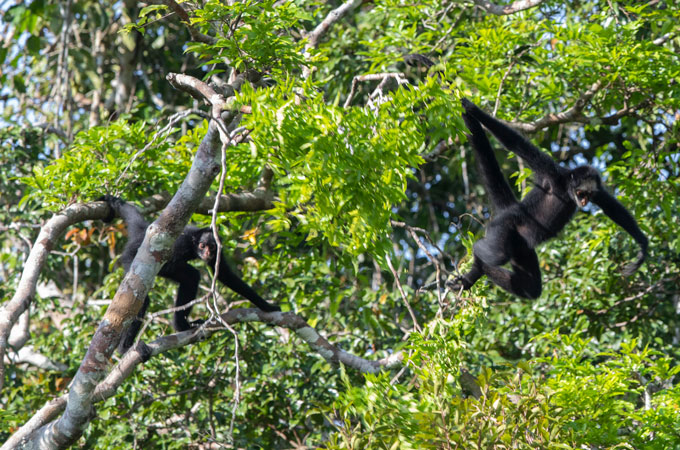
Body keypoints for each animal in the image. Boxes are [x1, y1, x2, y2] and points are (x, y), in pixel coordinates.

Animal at [100, 195, 280, 353]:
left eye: (211, 247)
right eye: (202, 245)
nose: (207, 253)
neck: (193, 244)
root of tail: (143, 233)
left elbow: (225, 275)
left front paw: (267, 306)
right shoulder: (181, 243)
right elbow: (170, 262)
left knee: (191, 278)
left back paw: (182, 326)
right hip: (130, 259)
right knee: (143, 297)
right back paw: (125, 348)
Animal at [449, 99, 648, 298]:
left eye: (589, 194)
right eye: (581, 193)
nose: (584, 202)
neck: (566, 189)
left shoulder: (596, 189)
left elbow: (610, 207)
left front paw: (642, 247)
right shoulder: (551, 172)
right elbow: (514, 143)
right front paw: (472, 108)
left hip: (522, 249)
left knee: (531, 289)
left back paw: (475, 273)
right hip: (503, 226)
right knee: (498, 255)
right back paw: (477, 256)